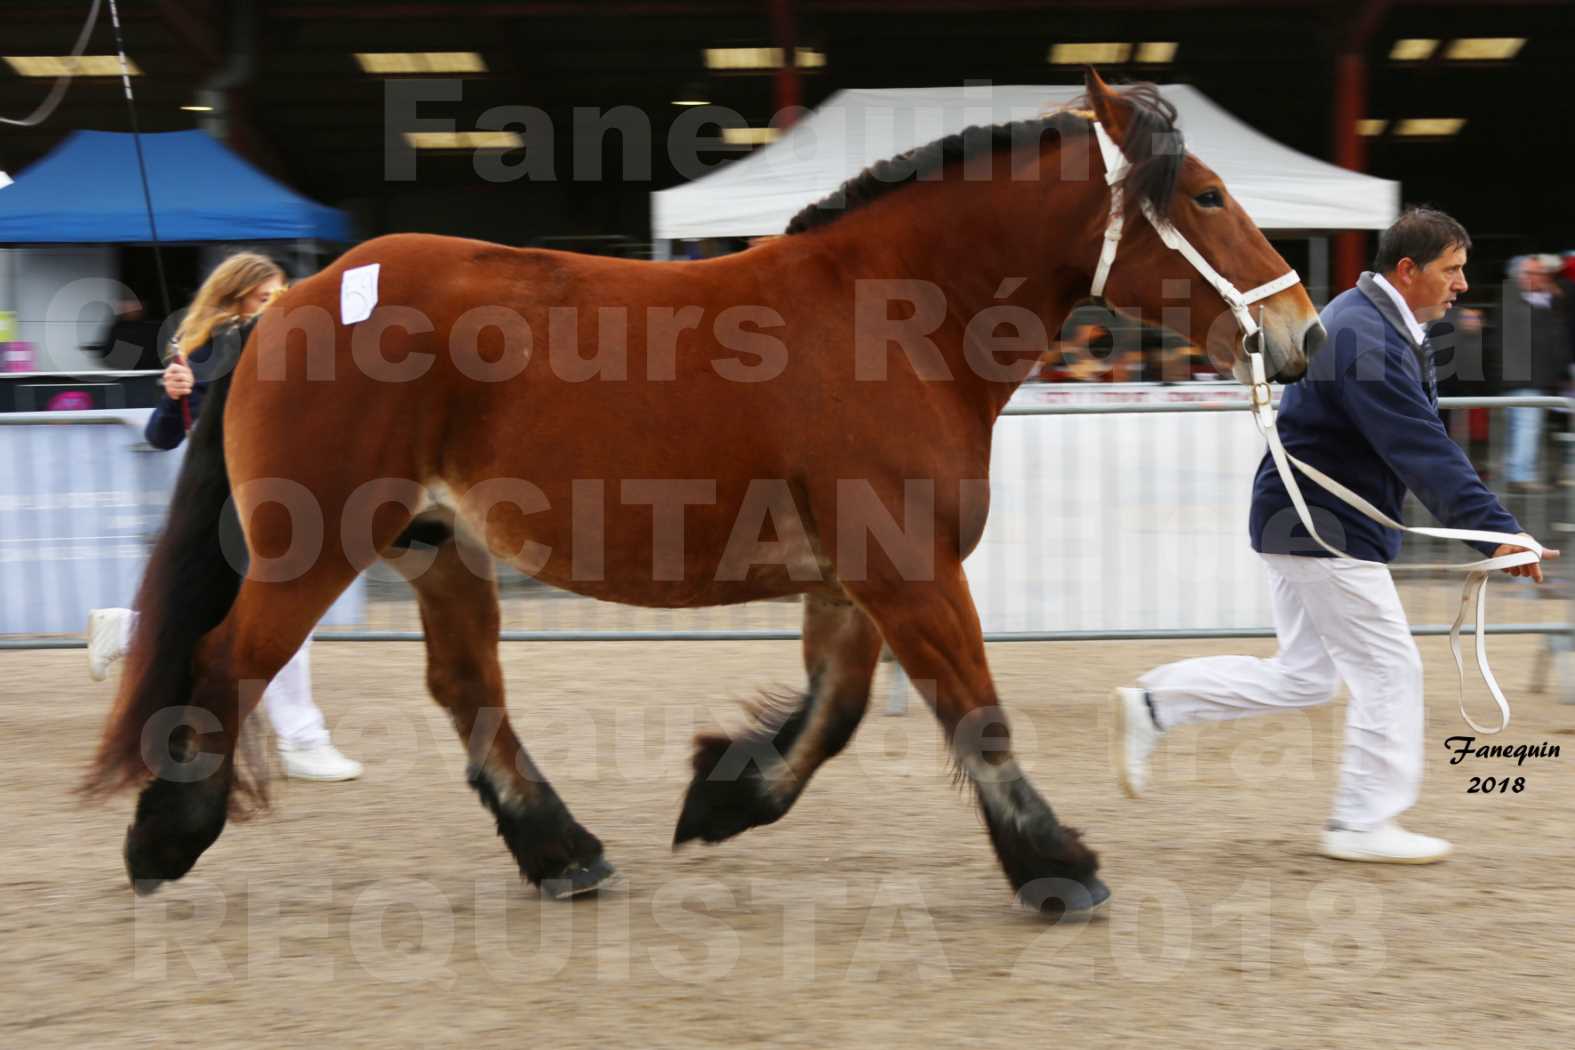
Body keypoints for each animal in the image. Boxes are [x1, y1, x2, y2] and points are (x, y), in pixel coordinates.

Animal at [83, 72, 1316, 919]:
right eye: (1206, 194)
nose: (1300, 334)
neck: (891, 317)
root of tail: (288, 304)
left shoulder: (854, 580)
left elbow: (834, 714)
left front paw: (723, 796)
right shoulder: (907, 570)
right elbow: (975, 712)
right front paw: (1057, 866)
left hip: (438, 547)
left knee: (467, 692)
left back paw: (563, 853)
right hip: (311, 546)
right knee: (226, 663)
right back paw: (164, 838)